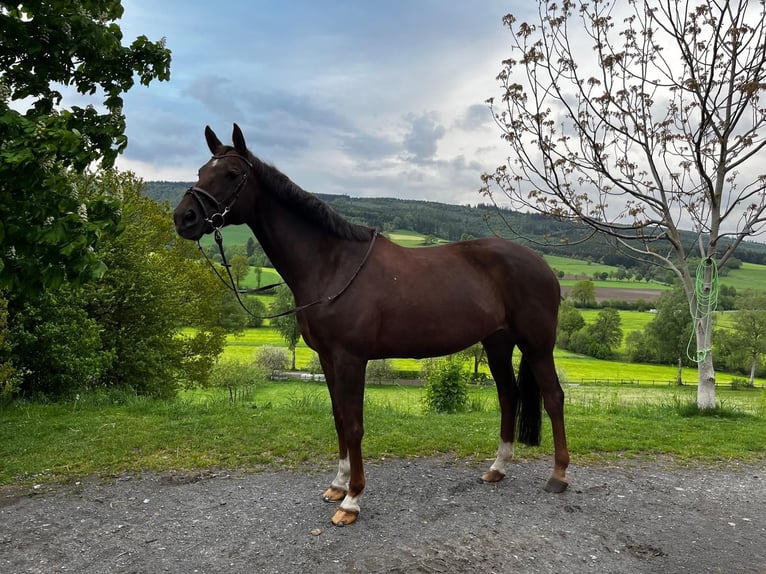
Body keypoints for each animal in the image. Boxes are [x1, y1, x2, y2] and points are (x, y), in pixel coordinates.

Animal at [173, 124, 570, 526]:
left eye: (231, 174)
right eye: (201, 171)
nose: (184, 218)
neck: (332, 264)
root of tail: (543, 265)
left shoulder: (351, 359)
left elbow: (354, 425)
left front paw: (352, 500)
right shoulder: (328, 359)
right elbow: (338, 419)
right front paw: (337, 485)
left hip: (536, 343)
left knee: (553, 397)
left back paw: (558, 475)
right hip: (497, 343)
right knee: (509, 397)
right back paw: (498, 468)